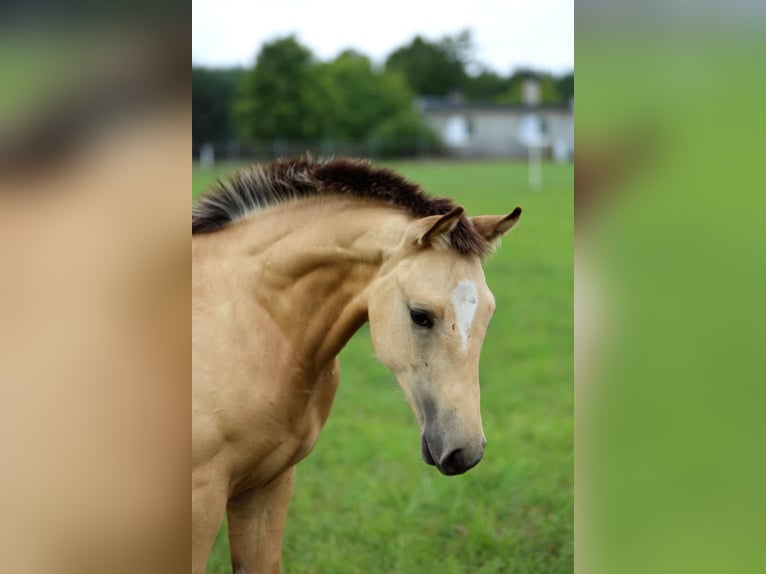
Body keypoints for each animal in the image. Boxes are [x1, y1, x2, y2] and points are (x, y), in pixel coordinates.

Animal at [192, 157, 521, 573]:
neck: (250, 317)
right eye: (420, 315)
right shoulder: (201, 498)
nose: (466, 451)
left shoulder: (267, 485)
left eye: (488, 314)